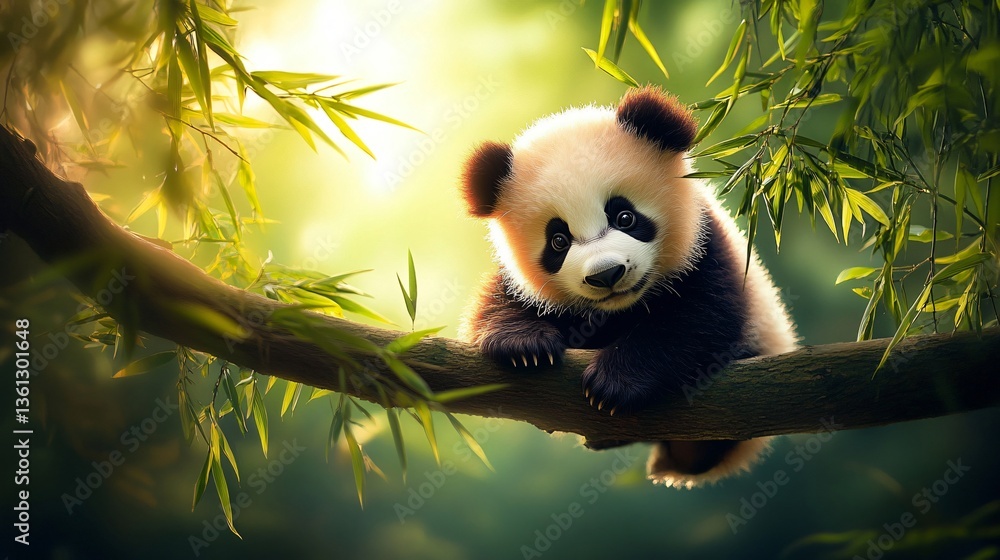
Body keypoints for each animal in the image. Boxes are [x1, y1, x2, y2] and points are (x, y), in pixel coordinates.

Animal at [457, 86, 798, 488]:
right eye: (558, 241)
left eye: (624, 216)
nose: (606, 275)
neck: (618, 311)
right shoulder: (518, 280)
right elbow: (495, 301)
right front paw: (525, 347)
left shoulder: (708, 245)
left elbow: (698, 319)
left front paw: (612, 384)